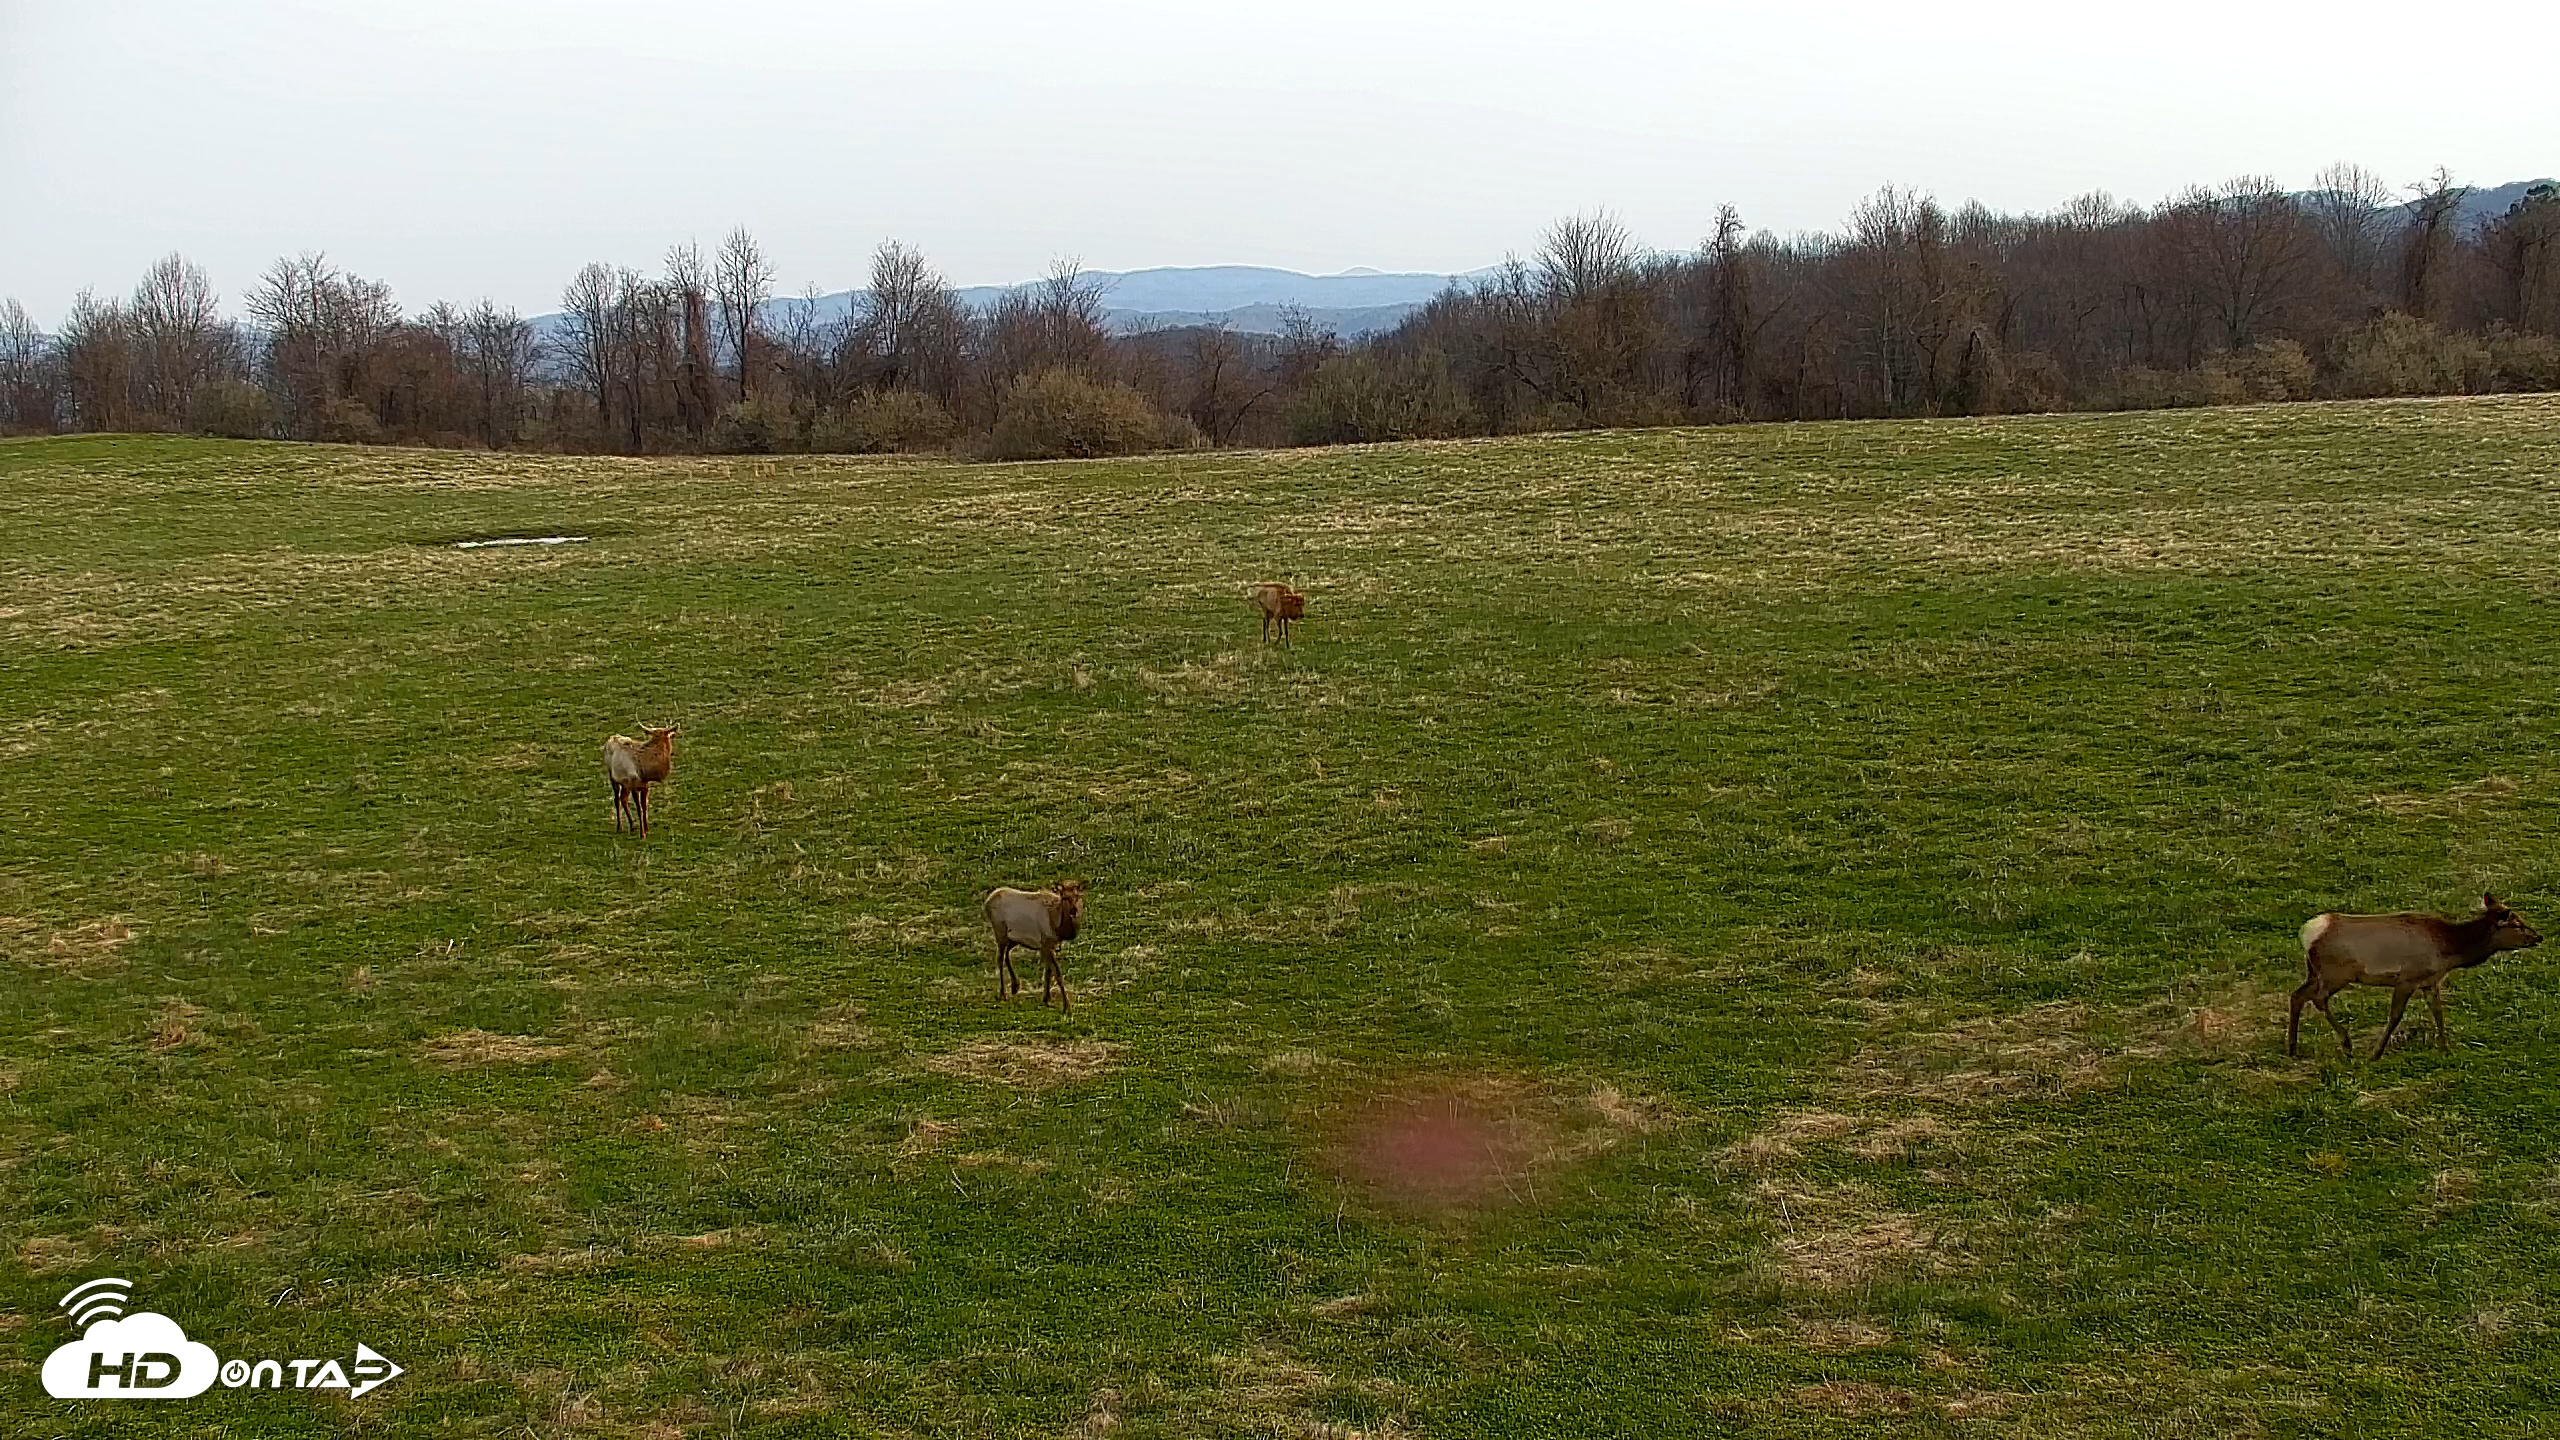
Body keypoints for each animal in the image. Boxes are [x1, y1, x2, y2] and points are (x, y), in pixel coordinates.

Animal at [984, 881, 1086, 1010]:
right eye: (1064, 897)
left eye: (1077, 896)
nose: (1074, 911)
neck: (1057, 926)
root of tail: (988, 901)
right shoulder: (1046, 944)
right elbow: (1057, 973)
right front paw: (1066, 1006)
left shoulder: (1048, 945)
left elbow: (1048, 972)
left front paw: (1046, 998)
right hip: (1000, 931)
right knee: (1000, 959)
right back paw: (1003, 993)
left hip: (1013, 938)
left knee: (1007, 954)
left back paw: (1015, 985)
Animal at [2288, 893, 2542, 1058]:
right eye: (2517, 924)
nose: (2538, 937)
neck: (2448, 951)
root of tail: (2307, 933)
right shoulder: (2407, 978)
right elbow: (2395, 1016)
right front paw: (2376, 1053)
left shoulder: (2429, 981)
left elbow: (2438, 1013)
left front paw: (2445, 1048)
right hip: (2336, 972)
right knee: (2317, 998)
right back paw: (2346, 1044)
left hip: (2315, 972)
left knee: (2297, 995)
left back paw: (2292, 1048)